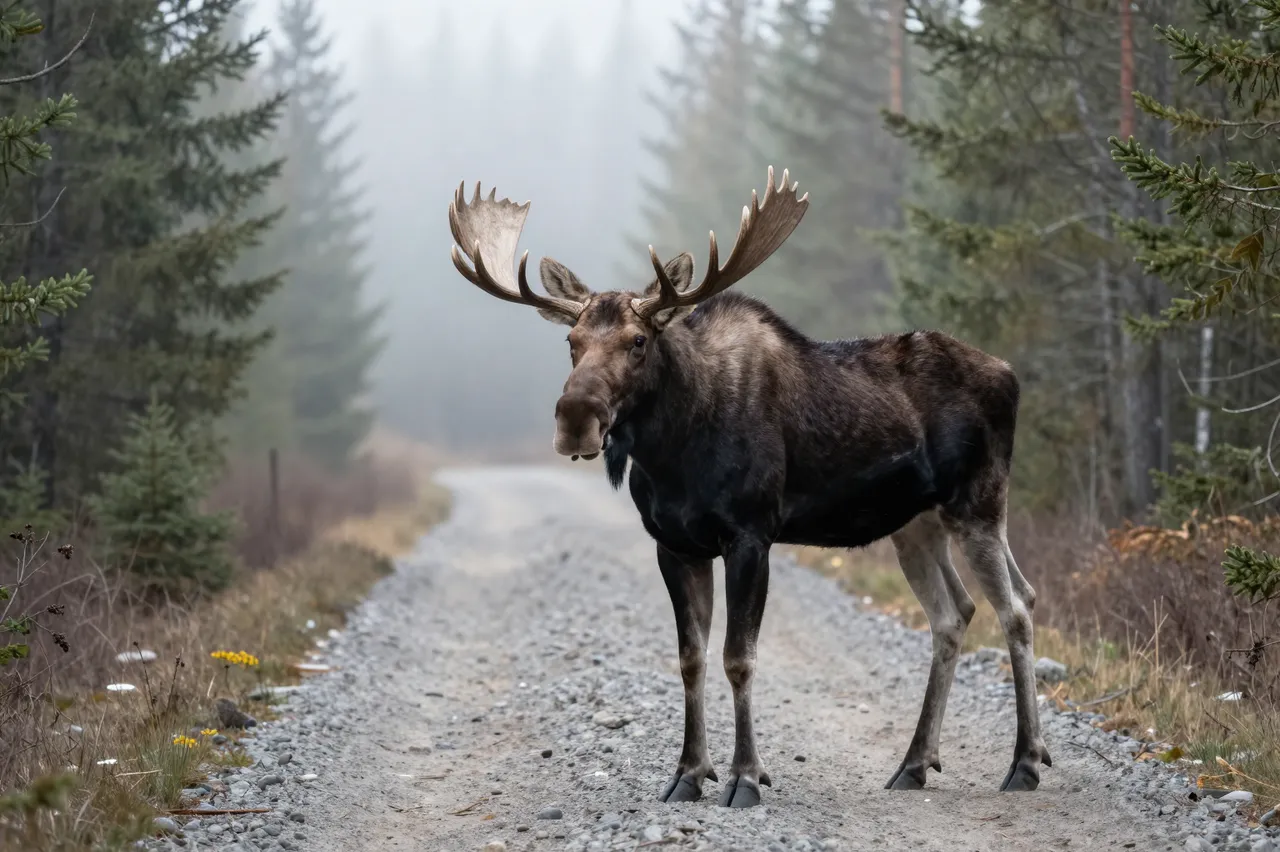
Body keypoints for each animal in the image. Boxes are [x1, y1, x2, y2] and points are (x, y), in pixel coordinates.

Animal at [445, 167, 1051, 809]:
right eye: (571, 343)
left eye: (638, 340)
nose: (575, 418)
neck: (675, 457)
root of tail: (1010, 375)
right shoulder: (674, 544)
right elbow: (690, 659)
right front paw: (688, 773)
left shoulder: (751, 535)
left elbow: (739, 658)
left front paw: (745, 777)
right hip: (916, 524)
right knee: (956, 612)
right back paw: (914, 763)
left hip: (978, 502)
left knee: (1015, 606)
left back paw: (1025, 761)